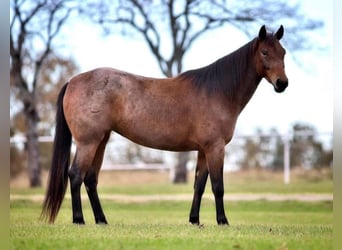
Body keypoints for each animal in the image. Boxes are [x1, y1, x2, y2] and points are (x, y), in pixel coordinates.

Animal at [40, 24, 288, 225]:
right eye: (265, 52)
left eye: (283, 52)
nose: (282, 83)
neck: (217, 91)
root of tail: (72, 81)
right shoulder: (215, 148)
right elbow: (218, 186)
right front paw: (222, 221)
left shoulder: (203, 150)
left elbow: (199, 185)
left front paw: (194, 220)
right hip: (88, 142)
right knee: (75, 175)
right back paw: (79, 220)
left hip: (101, 140)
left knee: (90, 179)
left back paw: (102, 220)